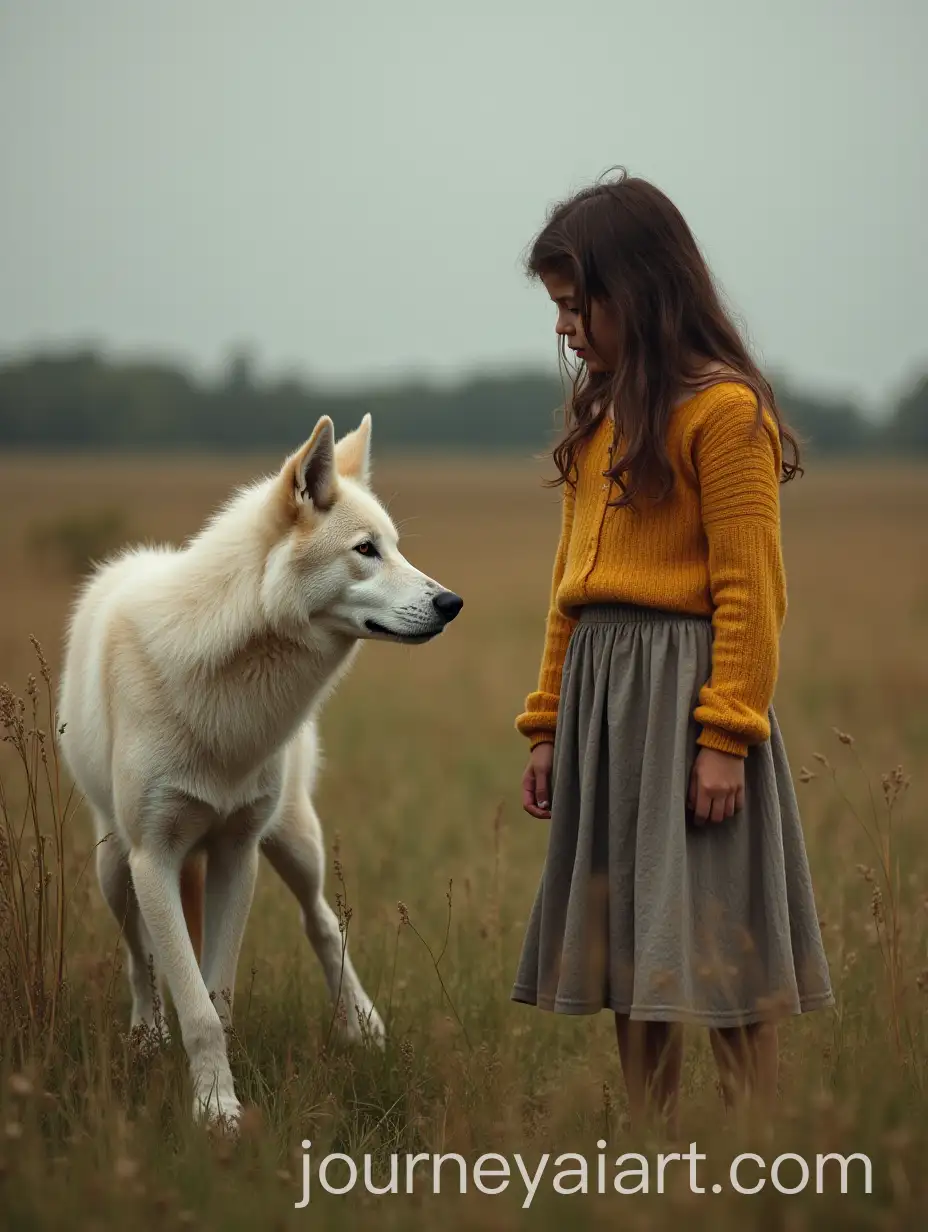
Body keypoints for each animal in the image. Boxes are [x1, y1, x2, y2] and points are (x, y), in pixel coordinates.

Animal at [57, 413, 462, 1128]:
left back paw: (363, 1027)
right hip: (112, 866)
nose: (451, 602)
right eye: (365, 550)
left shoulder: (236, 851)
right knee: (138, 957)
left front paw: (217, 1100)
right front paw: (216, 1112)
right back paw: (145, 1037)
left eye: (394, 547)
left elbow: (217, 998)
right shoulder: (154, 858)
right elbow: (191, 1001)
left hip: (295, 840)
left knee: (321, 921)